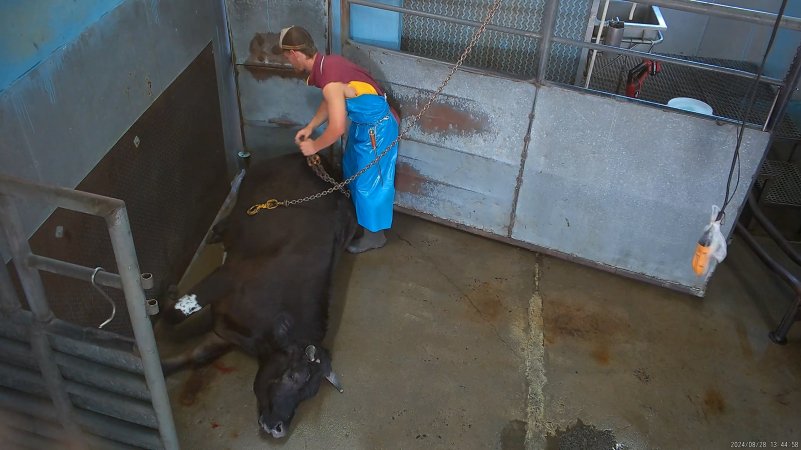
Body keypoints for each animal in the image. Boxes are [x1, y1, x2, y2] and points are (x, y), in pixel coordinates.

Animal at [158, 153, 354, 438]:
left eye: (309, 394)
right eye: (293, 377)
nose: (279, 428)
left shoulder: (225, 330)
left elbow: (196, 355)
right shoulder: (226, 277)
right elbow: (175, 314)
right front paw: (164, 298)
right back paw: (217, 232)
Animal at [247, 0, 504, 216]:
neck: (319, 62)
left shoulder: (330, 86)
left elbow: (337, 122)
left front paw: (309, 146)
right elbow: (325, 109)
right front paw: (305, 132)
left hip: (376, 148)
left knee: (369, 187)